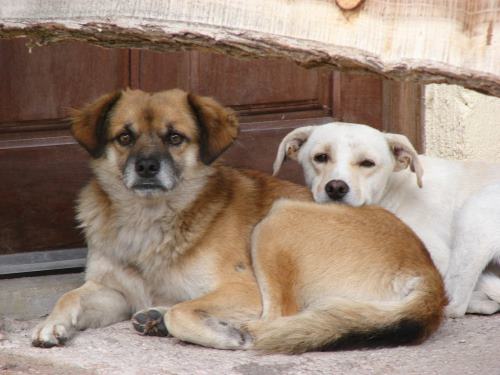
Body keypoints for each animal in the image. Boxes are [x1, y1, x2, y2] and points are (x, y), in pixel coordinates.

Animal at [31, 89, 446, 354]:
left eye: (175, 138)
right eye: (124, 137)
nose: (146, 166)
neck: (148, 217)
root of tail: (429, 275)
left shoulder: (243, 289)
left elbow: (185, 310)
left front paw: (221, 333)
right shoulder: (115, 292)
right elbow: (72, 294)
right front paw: (53, 323)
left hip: (277, 222)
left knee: (280, 317)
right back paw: (157, 317)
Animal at [274, 123, 500, 318]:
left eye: (367, 163)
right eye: (321, 157)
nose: (336, 187)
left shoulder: (436, 257)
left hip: (475, 213)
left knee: (455, 303)